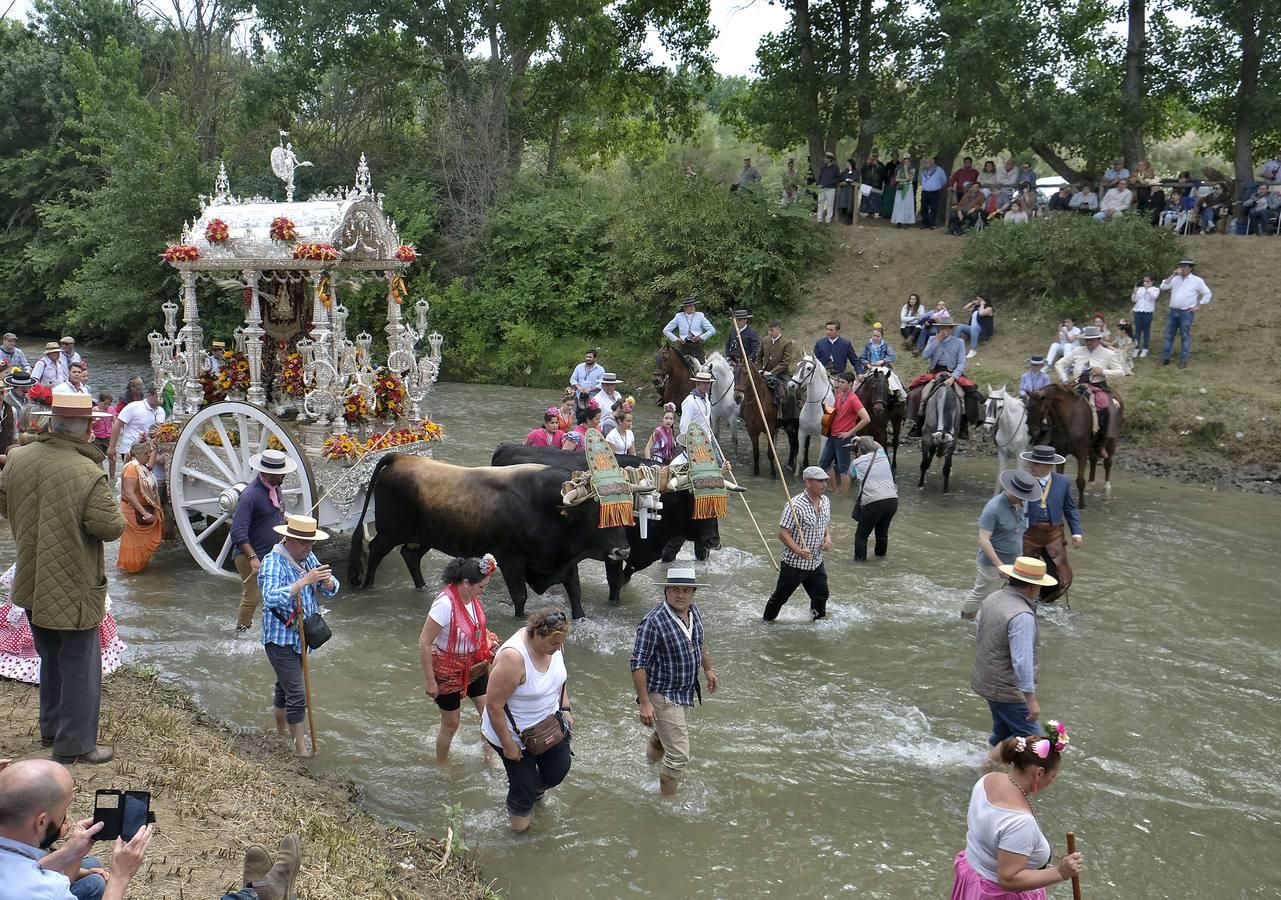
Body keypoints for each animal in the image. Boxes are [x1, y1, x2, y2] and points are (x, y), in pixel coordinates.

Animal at [1019, 378, 1122, 506]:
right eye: (1027, 408)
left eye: (1041, 409)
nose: (1032, 431)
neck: (1069, 419)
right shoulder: (1060, 452)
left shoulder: (1081, 453)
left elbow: (1080, 481)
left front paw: (1081, 505)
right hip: (1091, 446)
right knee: (1093, 460)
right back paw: (1091, 484)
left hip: (1112, 442)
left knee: (1108, 463)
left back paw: (1107, 487)